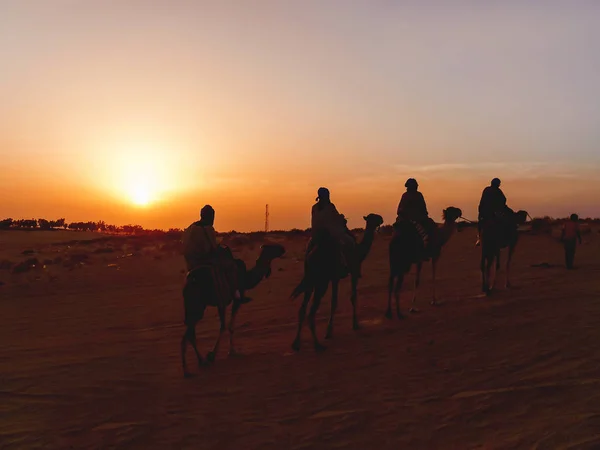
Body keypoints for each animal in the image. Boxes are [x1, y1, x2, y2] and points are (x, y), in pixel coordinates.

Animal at [180, 243, 286, 376]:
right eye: (272, 247)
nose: (282, 248)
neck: (246, 278)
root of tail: (187, 283)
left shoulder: (223, 304)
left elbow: (227, 327)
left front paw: (225, 352)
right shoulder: (234, 300)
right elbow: (226, 326)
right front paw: (219, 354)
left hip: (195, 308)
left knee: (190, 334)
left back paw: (199, 362)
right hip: (197, 307)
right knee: (189, 333)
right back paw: (188, 369)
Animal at [288, 214, 382, 352]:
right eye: (374, 217)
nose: (381, 219)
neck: (358, 250)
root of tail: (311, 251)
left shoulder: (334, 278)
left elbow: (335, 301)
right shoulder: (350, 273)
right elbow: (347, 298)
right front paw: (353, 325)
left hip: (311, 281)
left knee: (302, 309)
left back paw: (296, 343)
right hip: (321, 282)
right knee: (311, 312)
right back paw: (317, 345)